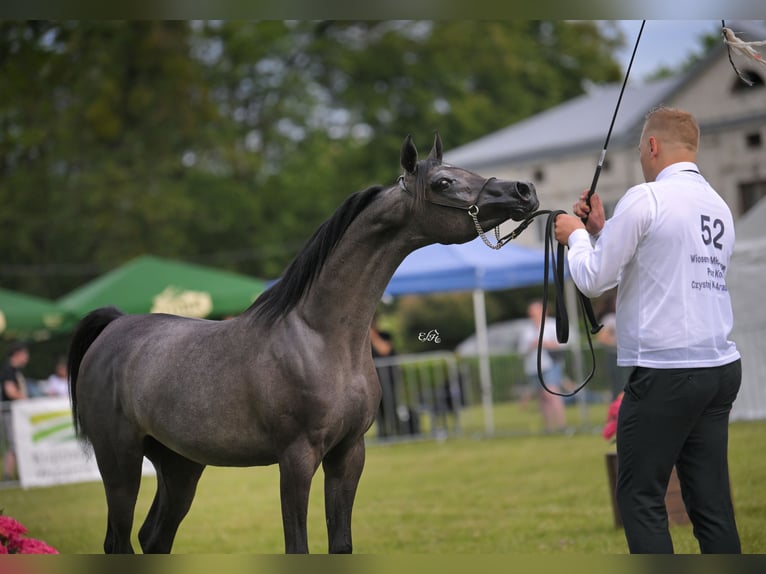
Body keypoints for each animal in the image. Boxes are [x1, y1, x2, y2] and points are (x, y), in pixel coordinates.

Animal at [67, 133, 539, 554]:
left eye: (467, 170)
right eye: (442, 182)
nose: (525, 190)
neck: (321, 339)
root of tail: (115, 326)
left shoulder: (348, 455)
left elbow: (341, 543)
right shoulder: (296, 459)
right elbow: (298, 545)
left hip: (179, 464)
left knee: (154, 538)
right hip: (120, 461)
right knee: (118, 541)